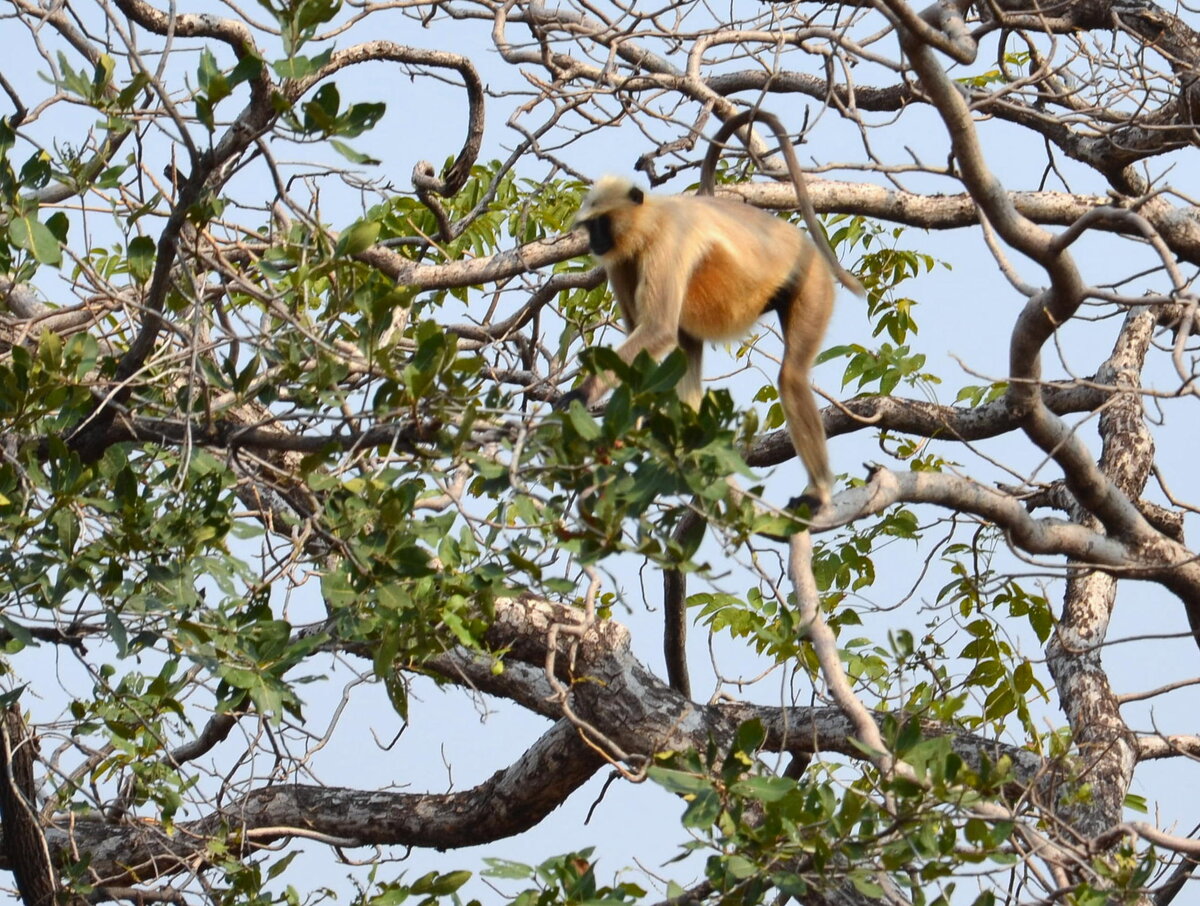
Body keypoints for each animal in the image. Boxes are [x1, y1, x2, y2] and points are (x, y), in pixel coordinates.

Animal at [554, 108, 864, 511]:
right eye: (590, 227)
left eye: (601, 223)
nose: (594, 241)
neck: (649, 222)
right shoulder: (620, 261)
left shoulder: (668, 239)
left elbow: (658, 330)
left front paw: (579, 396)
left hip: (812, 283)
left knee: (792, 377)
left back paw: (819, 491)